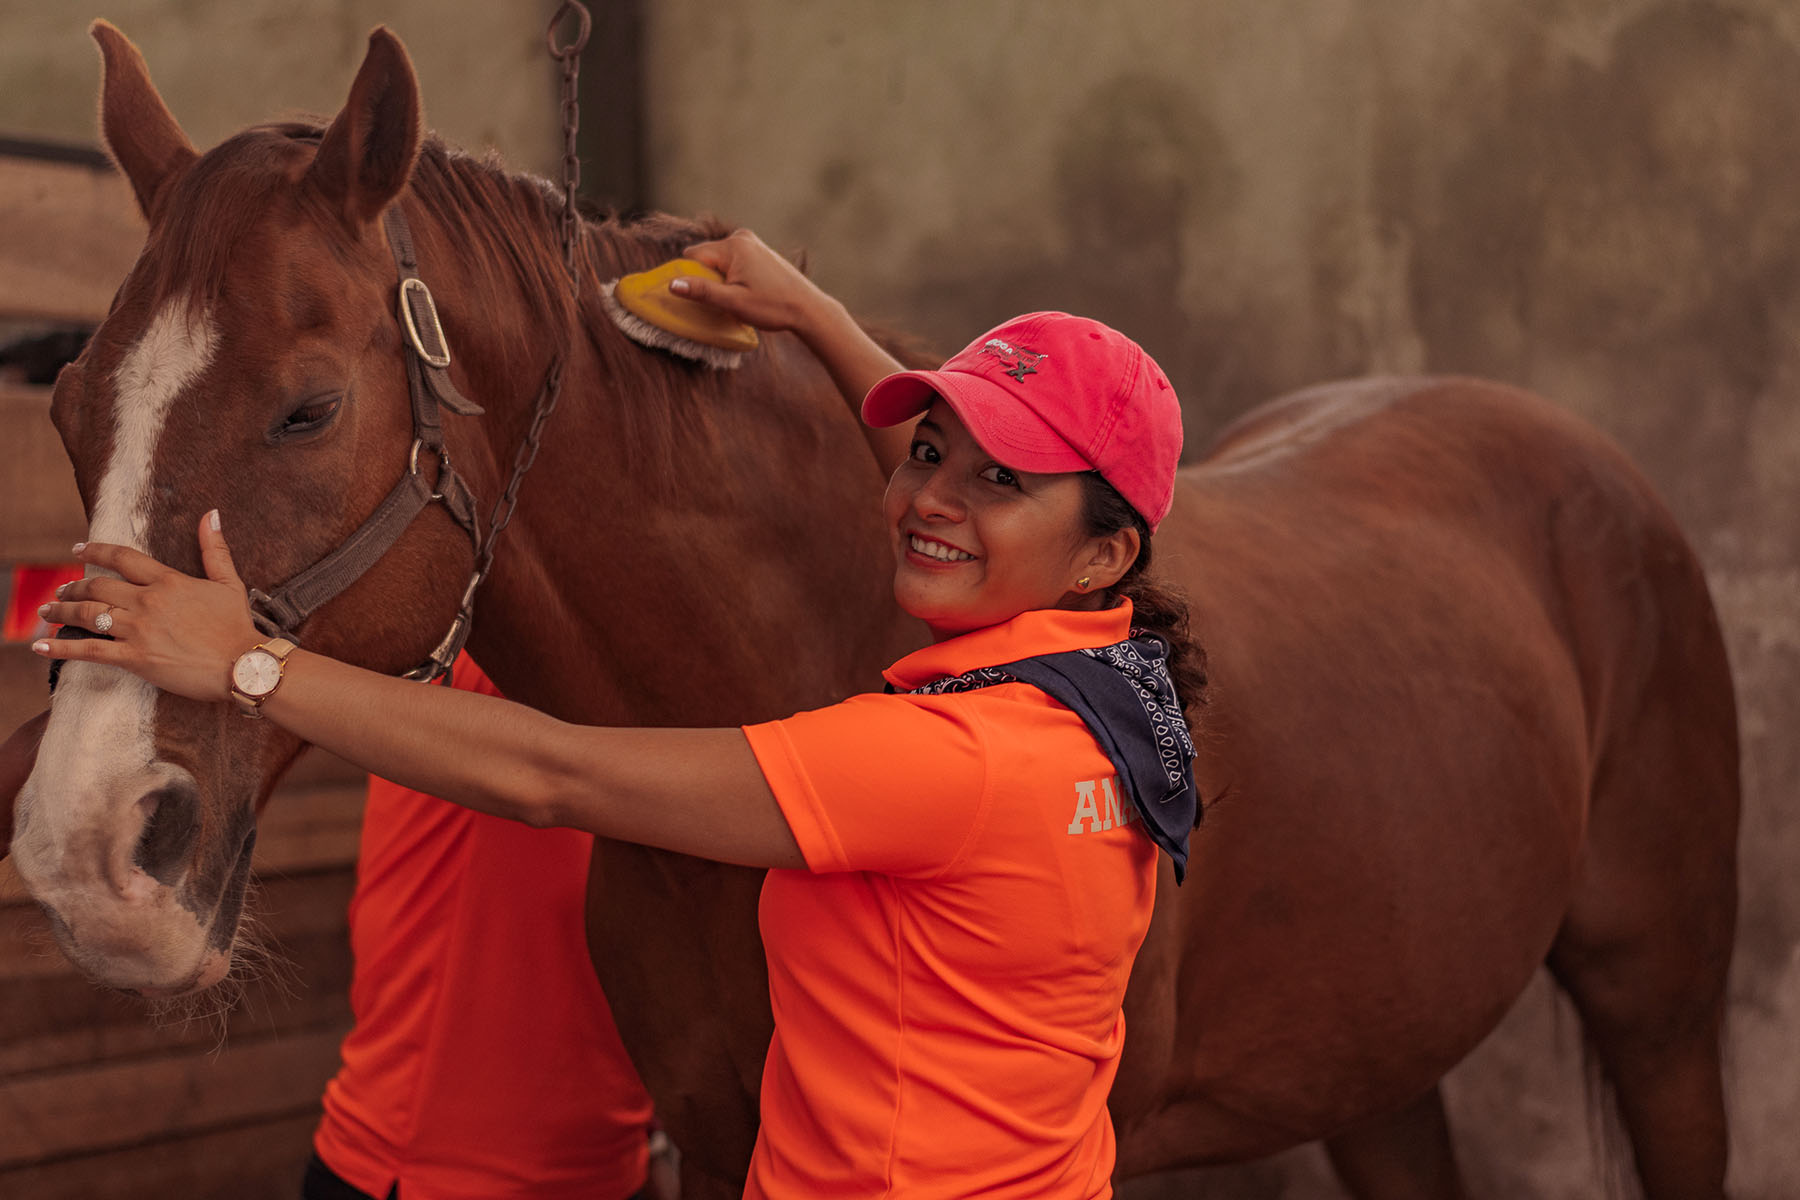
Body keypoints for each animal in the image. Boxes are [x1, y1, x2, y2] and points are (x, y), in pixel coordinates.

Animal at [7, 21, 1735, 1200]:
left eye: (307, 410)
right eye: (72, 408)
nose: (86, 856)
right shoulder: (715, 1135)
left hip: (1660, 1009)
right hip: (1376, 1046)